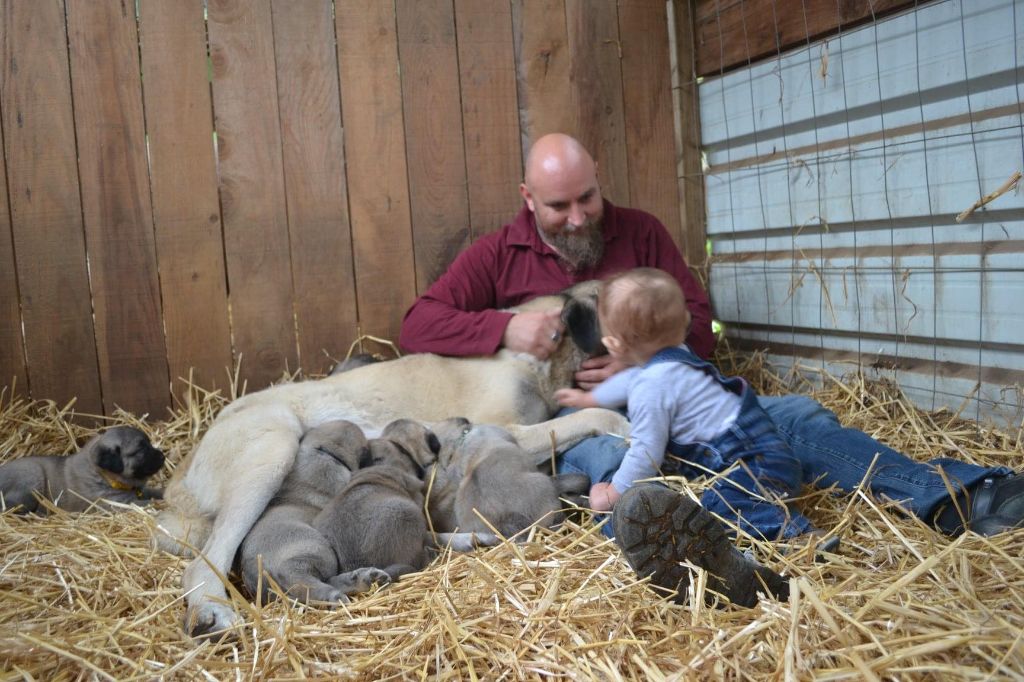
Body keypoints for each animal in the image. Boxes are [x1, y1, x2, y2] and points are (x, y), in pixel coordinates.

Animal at [0, 421, 163, 512]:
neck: (103, 475)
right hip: (34, 477)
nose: (163, 456)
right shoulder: (119, 503)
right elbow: (149, 503)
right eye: (141, 450)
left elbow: (154, 492)